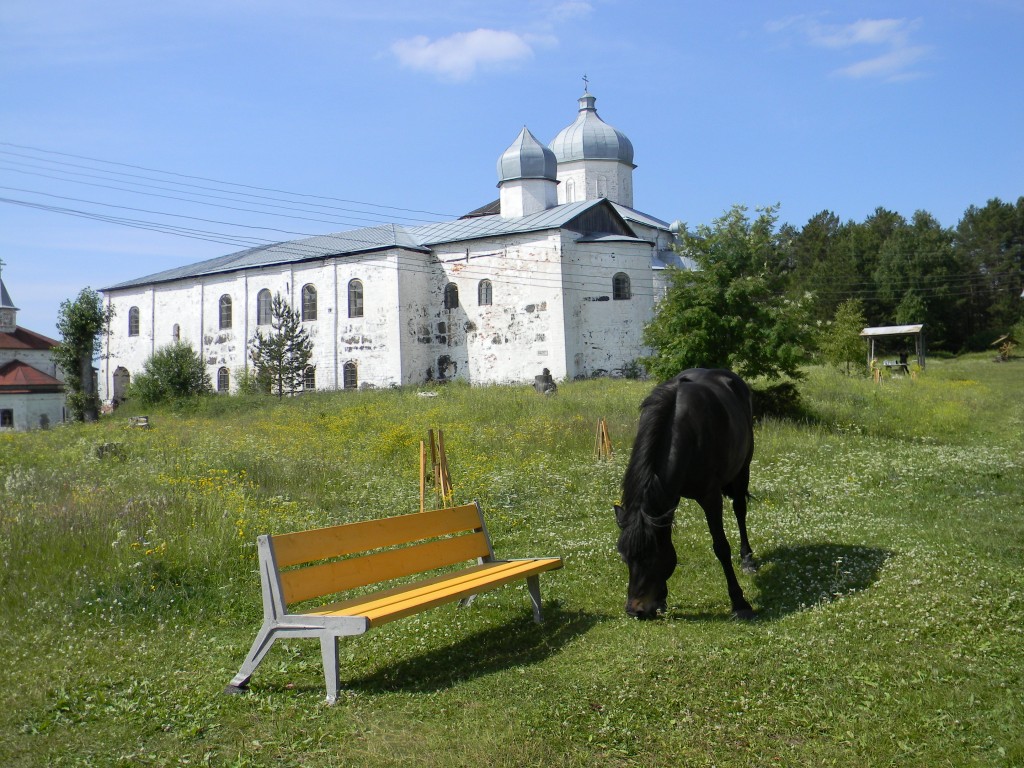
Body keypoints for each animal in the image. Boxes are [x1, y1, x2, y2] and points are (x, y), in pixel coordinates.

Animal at [610, 368, 757, 618]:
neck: (684, 434)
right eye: (624, 557)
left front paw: (739, 602)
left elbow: (721, 546)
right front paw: (661, 599)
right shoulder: (667, 497)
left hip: (742, 468)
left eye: (651, 557)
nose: (634, 610)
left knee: (740, 509)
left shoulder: (710, 497)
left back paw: (747, 558)